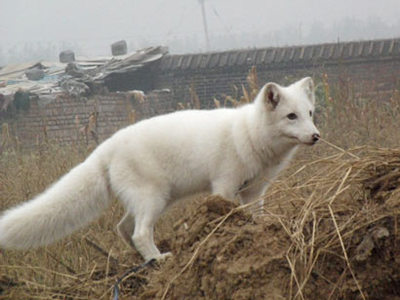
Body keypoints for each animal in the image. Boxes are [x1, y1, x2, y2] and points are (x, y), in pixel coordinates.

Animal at [0, 78, 318, 262]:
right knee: (139, 233)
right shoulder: (224, 186)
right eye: (291, 116)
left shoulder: (254, 191)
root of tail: (105, 148)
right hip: (153, 200)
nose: (316, 136)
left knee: (124, 229)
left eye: (310, 114)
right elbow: (228, 212)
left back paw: (142, 260)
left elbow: (256, 217)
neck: (249, 134)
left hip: (157, 201)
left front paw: (259, 231)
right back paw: (159, 258)